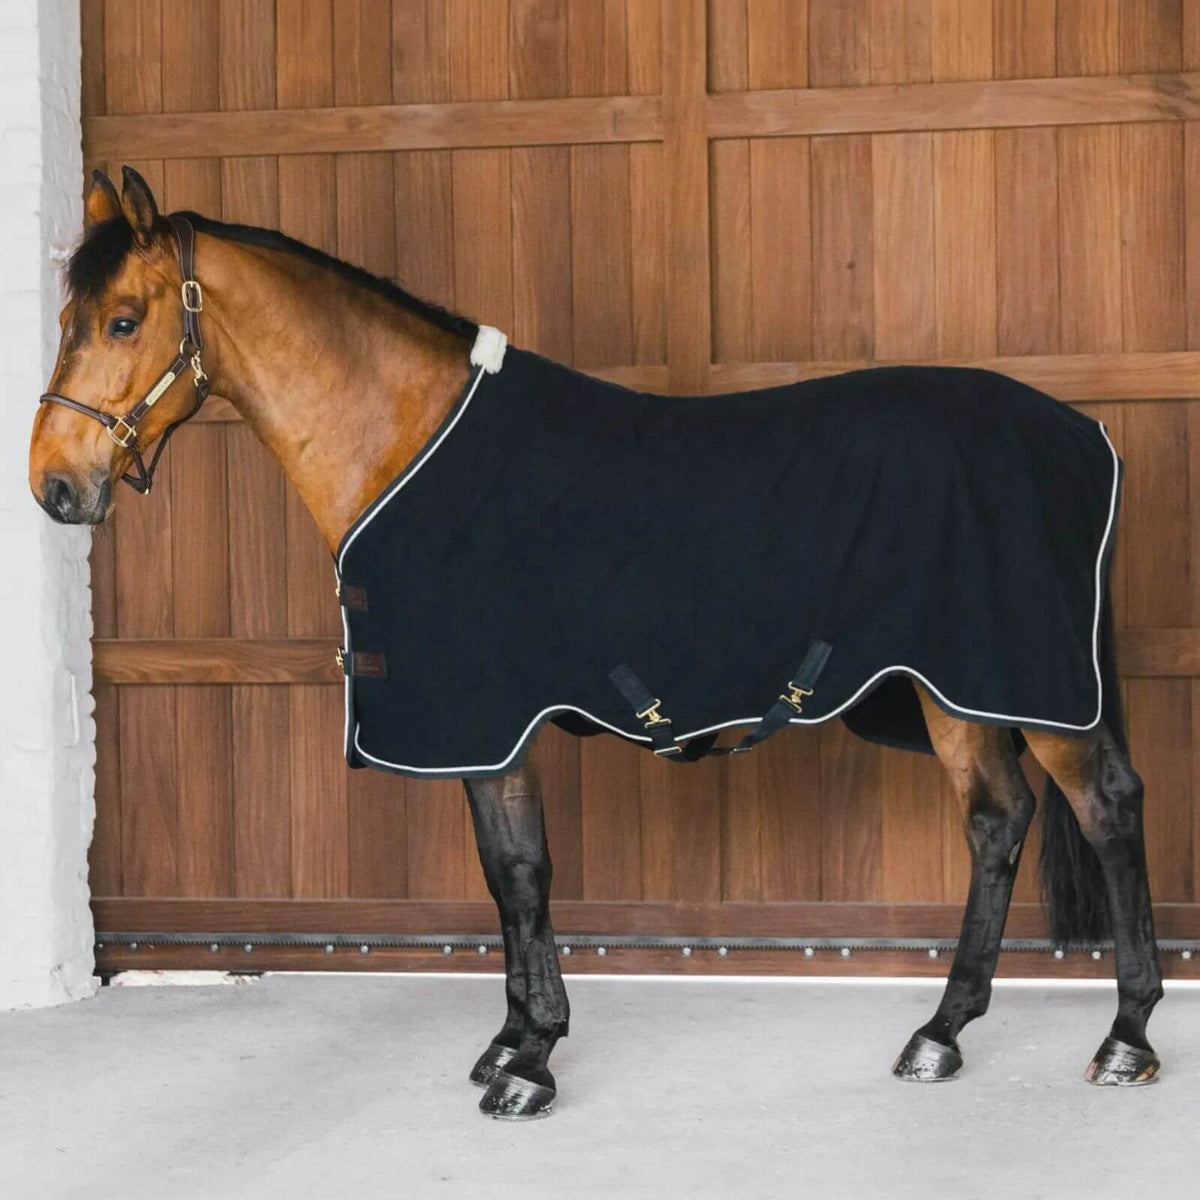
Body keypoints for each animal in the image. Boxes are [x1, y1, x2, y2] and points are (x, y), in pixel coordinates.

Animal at [29, 167, 1164, 1120]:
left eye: (122, 320)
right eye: (70, 319)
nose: (53, 485)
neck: (410, 443)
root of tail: (1082, 435)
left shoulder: (490, 719)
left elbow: (522, 873)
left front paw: (529, 1063)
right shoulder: (484, 730)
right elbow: (505, 878)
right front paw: (511, 1040)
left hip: (1029, 688)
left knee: (1106, 807)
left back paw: (1126, 1038)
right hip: (954, 690)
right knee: (997, 822)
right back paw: (940, 1033)